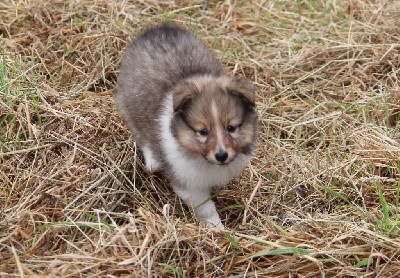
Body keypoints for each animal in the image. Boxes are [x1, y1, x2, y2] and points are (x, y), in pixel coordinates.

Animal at [115, 23, 260, 228]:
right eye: (203, 131)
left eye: (231, 128)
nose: (221, 155)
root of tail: (156, 29)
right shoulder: (189, 183)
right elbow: (206, 208)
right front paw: (217, 228)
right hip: (130, 106)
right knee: (142, 135)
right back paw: (153, 161)